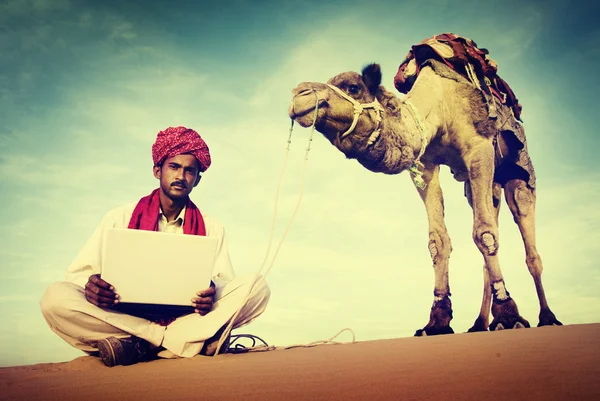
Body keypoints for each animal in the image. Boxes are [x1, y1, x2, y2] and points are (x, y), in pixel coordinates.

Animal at [288, 54, 560, 332]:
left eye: (353, 87)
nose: (299, 94)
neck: (440, 105)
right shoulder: (424, 164)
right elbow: (438, 241)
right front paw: (437, 319)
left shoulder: (479, 146)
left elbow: (484, 233)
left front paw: (509, 313)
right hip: (485, 185)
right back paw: (479, 323)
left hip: (519, 169)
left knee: (526, 233)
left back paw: (546, 317)